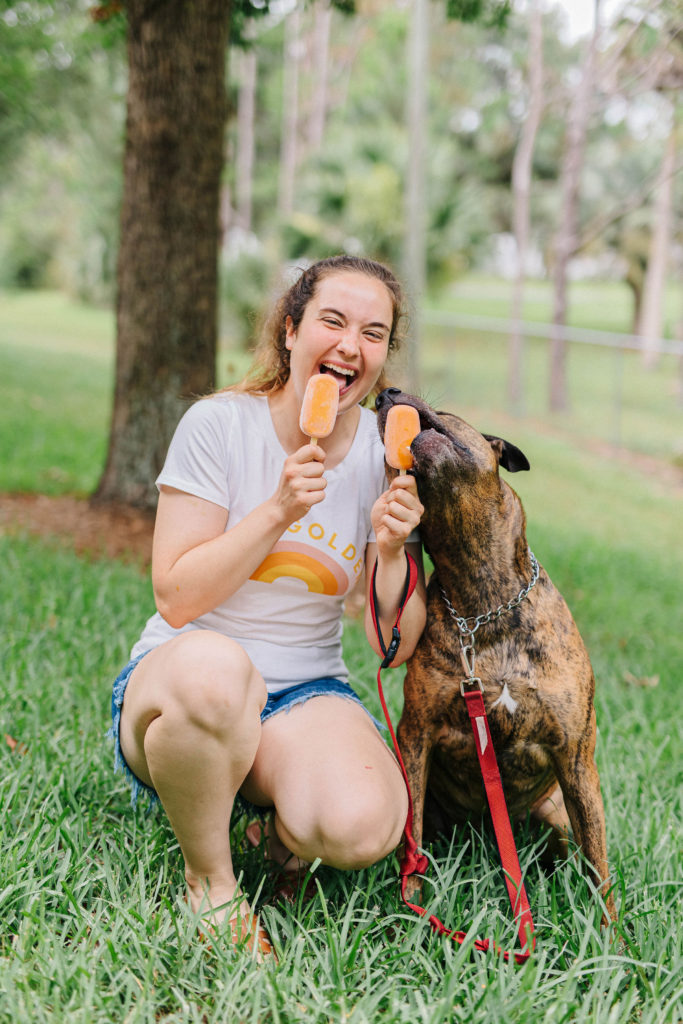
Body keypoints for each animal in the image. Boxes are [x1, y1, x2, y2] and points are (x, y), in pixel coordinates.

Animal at [376, 385, 618, 921]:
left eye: (446, 412)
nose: (384, 393)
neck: (482, 601)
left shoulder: (575, 757)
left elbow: (600, 866)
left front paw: (611, 933)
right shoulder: (415, 736)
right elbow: (412, 837)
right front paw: (410, 910)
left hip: (556, 812)